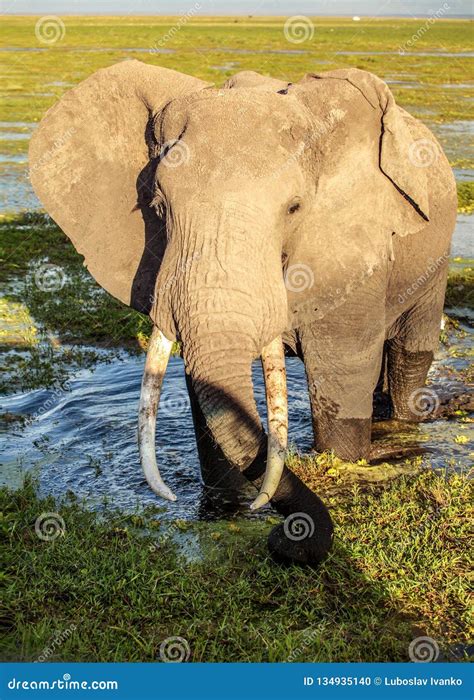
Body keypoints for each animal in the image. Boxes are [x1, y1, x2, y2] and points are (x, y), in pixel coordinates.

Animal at [28, 57, 456, 568]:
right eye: (158, 206)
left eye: (294, 208)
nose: (283, 534)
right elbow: (205, 389)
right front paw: (226, 507)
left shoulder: (352, 245)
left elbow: (342, 369)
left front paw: (341, 468)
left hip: (434, 263)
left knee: (410, 354)